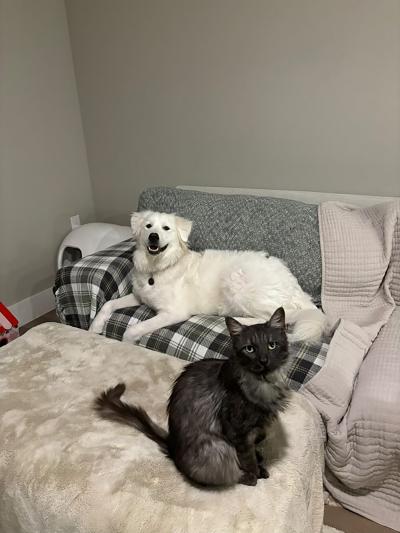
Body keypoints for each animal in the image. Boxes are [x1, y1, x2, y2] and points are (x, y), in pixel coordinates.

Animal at [89, 210, 326, 342]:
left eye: (166, 228)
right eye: (148, 226)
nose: (153, 237)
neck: (158, 268)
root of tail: (295, 286)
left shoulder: (174, 313)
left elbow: (134, 328)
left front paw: (127, 341)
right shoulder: (140, 297)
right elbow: (108, 304)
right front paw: (94, 327)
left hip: (238, 281)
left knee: (276, 315)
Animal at [95, 308, 290, 486]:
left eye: (272, 345)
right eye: (250, 349)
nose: (264, 361)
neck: (265, 383)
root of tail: (173, 447)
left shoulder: (257, 428)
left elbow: (254, 447)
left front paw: (260, 463)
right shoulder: (237, 430)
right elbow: (247, 458)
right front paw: (255, 474)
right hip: (218, 447)